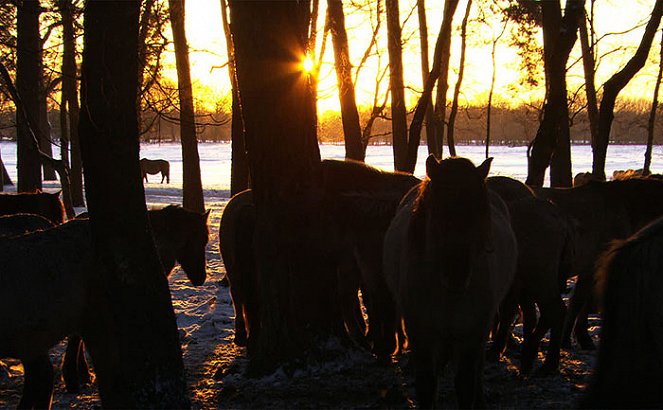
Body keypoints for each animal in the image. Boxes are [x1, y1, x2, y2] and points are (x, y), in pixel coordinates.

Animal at [384, 155, 520, 408]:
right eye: (436, 212)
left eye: (480, 213)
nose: (456, 275)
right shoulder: (422, 334)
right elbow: (427, 386)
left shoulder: (471, 334)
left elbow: (466, 384)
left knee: (477, 369)